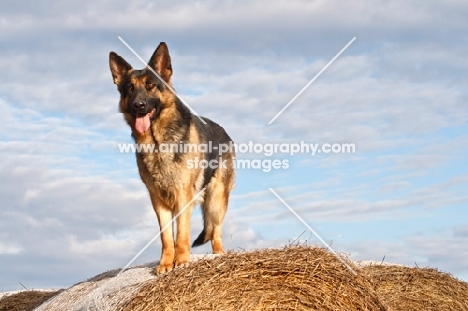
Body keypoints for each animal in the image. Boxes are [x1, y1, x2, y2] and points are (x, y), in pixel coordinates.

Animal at [109, 43, 234, 272]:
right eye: (129, 88)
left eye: (150, 85)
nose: (138, 105)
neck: (157, 143)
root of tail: (224, 132)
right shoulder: (158, 200)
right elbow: (167, 237)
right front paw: (166, 263)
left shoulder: (184, 196)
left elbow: (182, 233)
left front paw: (182, 260)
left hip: (216, 200)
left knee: (215, 230)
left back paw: (219, 254)